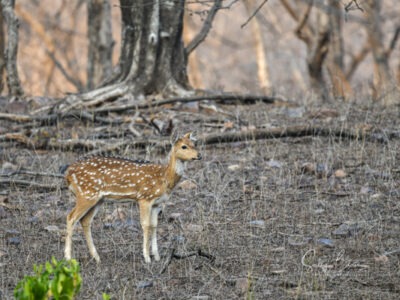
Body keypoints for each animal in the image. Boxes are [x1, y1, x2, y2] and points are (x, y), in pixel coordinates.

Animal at [64, 132, 202, 264]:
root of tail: (68, 174)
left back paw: (96, 257)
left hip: (97, 199)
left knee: (85, 221)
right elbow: (145, 225)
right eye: (184, 146)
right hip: (86, 194)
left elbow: (154, 225)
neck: (164, 178)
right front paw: (147, 257)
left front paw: (157, 256)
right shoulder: (144, 198)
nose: (199, 155)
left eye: (194, 144)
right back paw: (68, 258)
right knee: (71, 217)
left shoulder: (157, 204)